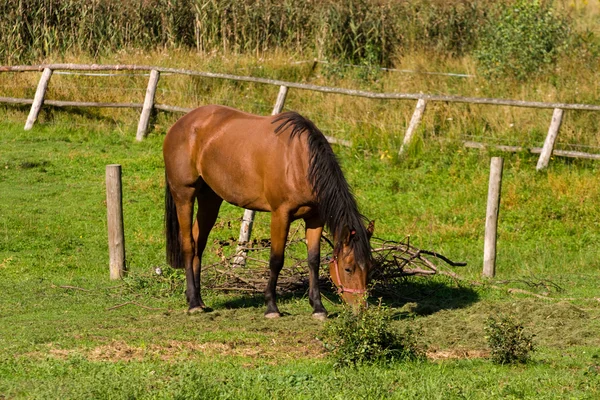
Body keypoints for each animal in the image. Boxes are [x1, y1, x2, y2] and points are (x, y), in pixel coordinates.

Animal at [162, 104, 372, 318]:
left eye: (370, 268)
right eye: (348, 269)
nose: (361, 308)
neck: (299, 159)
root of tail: (181, 123)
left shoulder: (315, 218)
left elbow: (313, 260)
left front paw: (318, 308)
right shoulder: (281, 215)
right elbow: (276, 260)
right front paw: (272, 307)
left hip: (210, 198)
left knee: (199, 243)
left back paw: (197, 298)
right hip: (184, 195)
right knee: (189, 244)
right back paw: (193, 303)